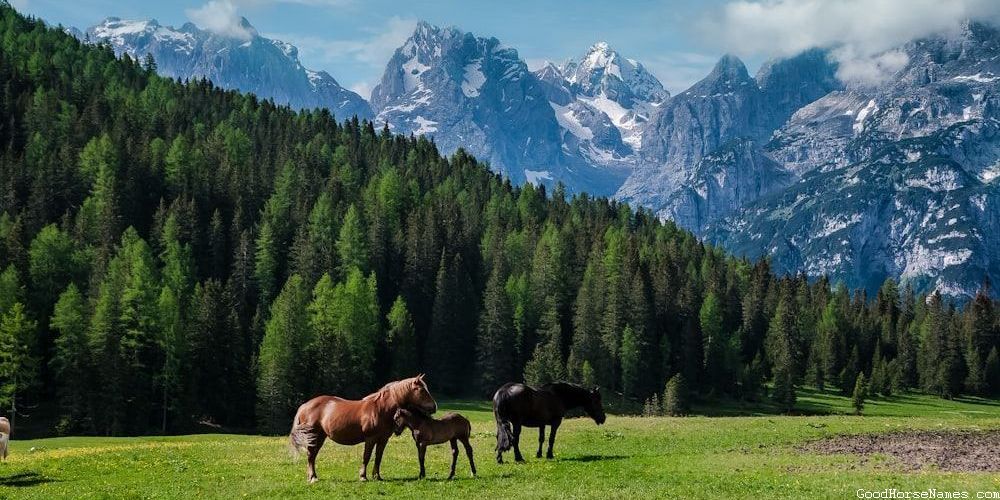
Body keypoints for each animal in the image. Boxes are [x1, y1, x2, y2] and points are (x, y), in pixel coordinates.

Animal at [288, 374, 437, 483]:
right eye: (422, 390)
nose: (434, 407)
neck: (381, 409)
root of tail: (305, 405)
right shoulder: (370, 439)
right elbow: (366, 456)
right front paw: (363, 477)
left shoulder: (383, 439)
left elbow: (378, 457)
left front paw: (377, 476)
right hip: (314, 436)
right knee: (310, 456)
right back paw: (313, 478)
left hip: (320, 437)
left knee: (312, 456)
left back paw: (312, 477)